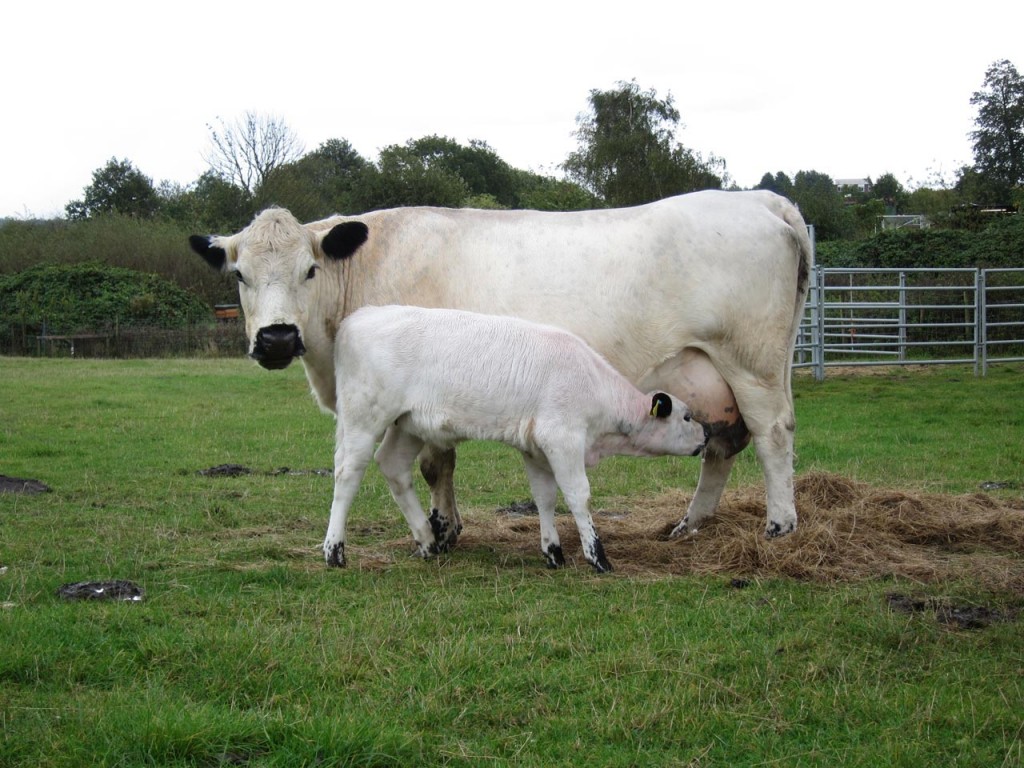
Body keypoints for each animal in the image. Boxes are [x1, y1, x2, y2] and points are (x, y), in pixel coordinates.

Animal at [323, 305, 708, 573]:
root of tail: (361, 315)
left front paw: (553, 553)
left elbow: (545, 498)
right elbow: (578, 496)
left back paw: (428, 541)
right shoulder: (563, 440)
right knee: (348, 474)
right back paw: (334, 551)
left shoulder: (536, 449)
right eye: (687, 416)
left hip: (409, 426)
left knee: (393, 467)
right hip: (364, 418)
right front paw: (597, 557)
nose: (707, 434)